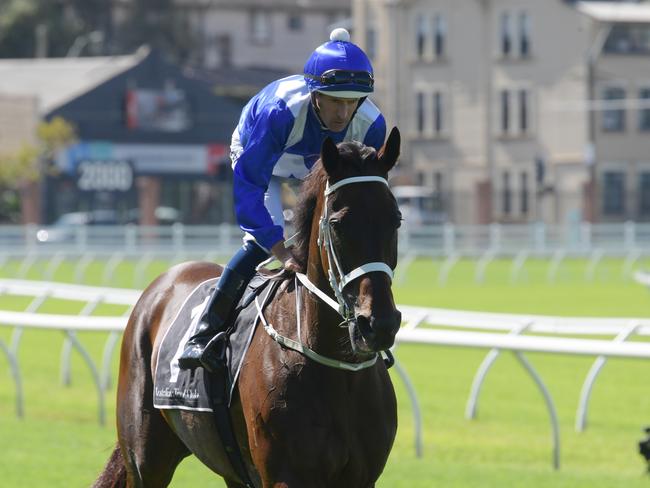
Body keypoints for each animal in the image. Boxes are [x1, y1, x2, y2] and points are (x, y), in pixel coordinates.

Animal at [94, 127, 402, 486]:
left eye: (395, 219)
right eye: (338, 223)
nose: (378, 324)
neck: (337, 370)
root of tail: (162, 284)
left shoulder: (361, 477)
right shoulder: (284, 475)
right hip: (146, 459)